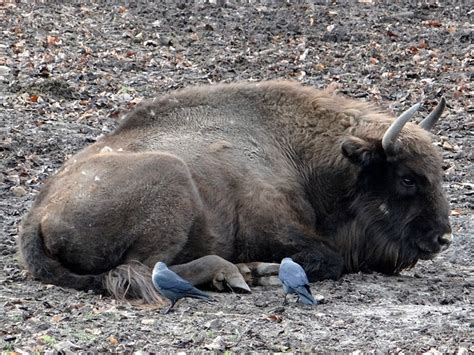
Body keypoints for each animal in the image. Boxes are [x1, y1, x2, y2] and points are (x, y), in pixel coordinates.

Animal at [18, 80, 452, 304]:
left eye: (439, 170)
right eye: (408, 178)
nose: (442, 238)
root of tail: (35, 218)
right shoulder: (277, 229)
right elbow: (328, 259)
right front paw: (262, 271)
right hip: (172, 179)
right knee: (145, 269)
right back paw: (235, 273)